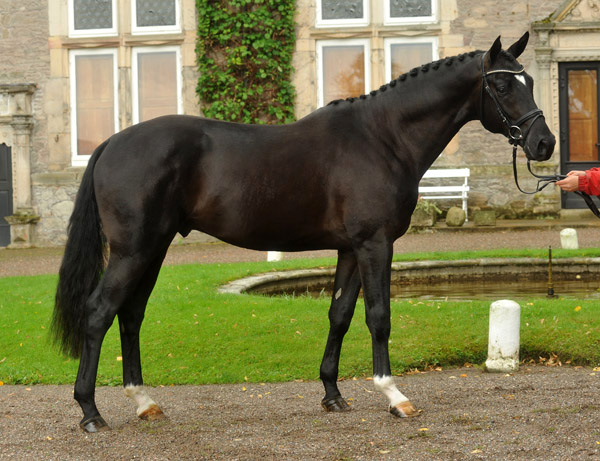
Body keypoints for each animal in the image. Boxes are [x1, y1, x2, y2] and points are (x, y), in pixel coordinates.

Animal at [54, 33, 556, 432]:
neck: (383, 137)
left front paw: (333, 395)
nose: (544, 143)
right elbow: (379, 316)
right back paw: (90, 413)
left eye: (530, 82)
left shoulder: (350, 249)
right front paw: (394, 396)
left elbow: (340, 315)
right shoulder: (375, 245)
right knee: (99, 312)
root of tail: (111, 142)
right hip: (132, 251)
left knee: (131, 314)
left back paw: (144, 403)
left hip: (152, 249)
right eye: (503, 84)